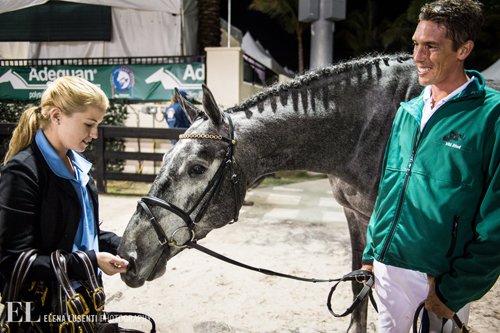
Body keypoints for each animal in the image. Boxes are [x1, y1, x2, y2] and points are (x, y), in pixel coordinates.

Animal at [117, 53, 496, 330]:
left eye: (196, 168)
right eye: (164, 157)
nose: (128, 254)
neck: (374, 130)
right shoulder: (357, 216)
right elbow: (359, 287)